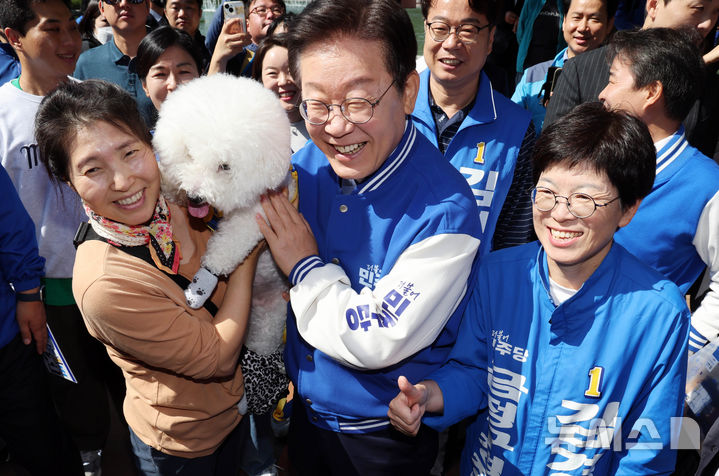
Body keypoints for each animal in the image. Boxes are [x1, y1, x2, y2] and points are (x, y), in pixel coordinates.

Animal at [155, 73, 292, 412]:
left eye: (225, 166)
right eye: (190, 154)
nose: (195, 197)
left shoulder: (257, 216)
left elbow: (227, 244)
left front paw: (205, 278)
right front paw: (166, 184)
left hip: (269, 321)